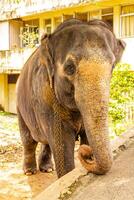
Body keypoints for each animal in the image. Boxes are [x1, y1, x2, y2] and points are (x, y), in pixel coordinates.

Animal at [16, 19, 125, 178]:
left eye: (112, 67)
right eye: (70, 68)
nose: (86, 153)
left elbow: (85, 136)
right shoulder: (47, 97)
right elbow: (63, 144)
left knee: (45, 142)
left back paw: (47, 169)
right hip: (19, 106)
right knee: (28, 140)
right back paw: (30, 172)